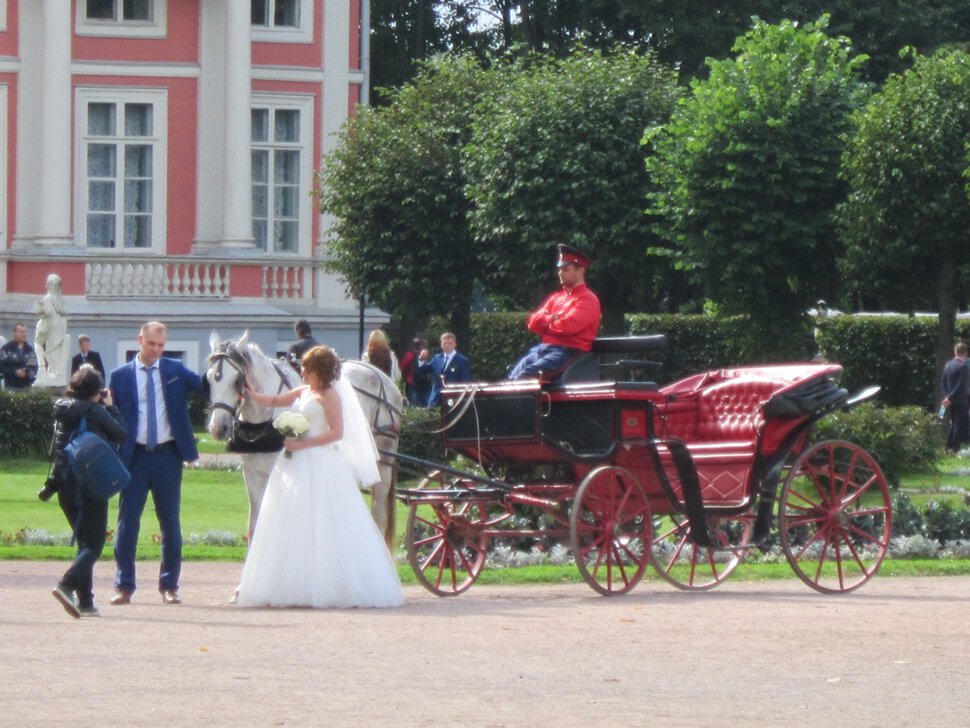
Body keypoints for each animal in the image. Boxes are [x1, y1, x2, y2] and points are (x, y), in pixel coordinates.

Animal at [202, 332, 402, 548]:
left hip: (383, 461)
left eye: (237, 380)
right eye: (208, 379)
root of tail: (381, 374)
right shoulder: (253, 473)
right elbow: (255, 524)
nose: (218, 427)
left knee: (379, 513)